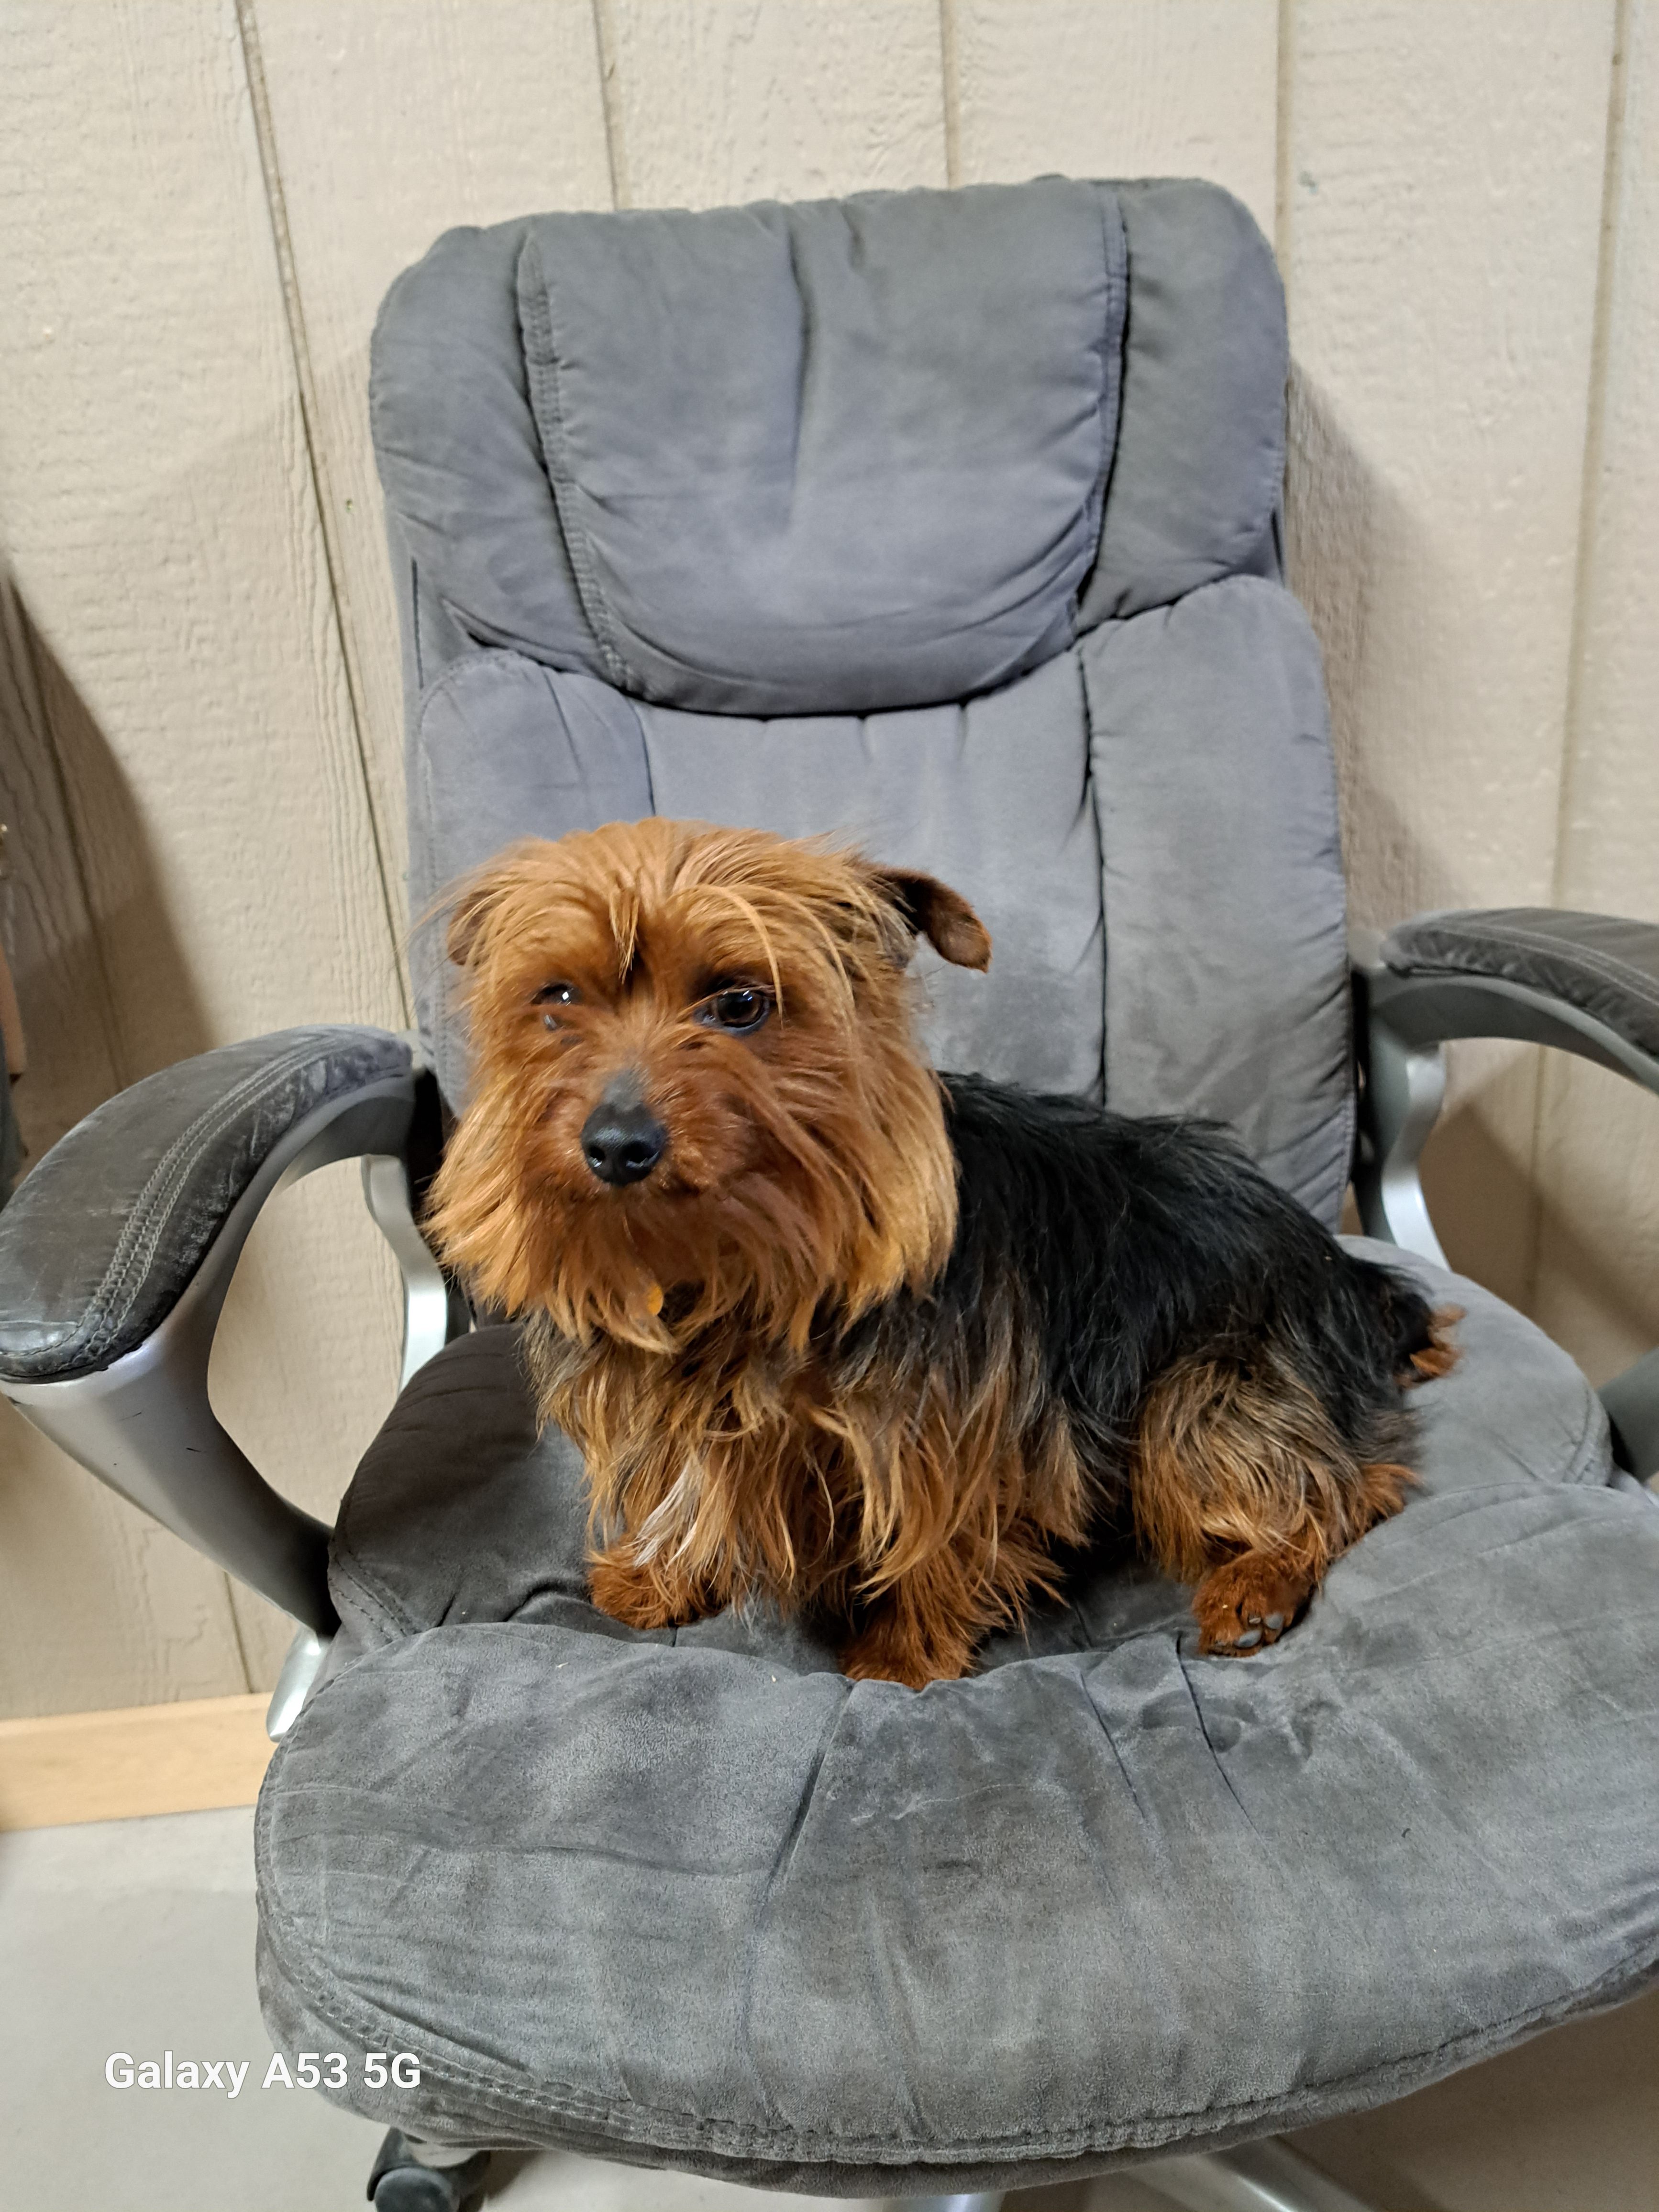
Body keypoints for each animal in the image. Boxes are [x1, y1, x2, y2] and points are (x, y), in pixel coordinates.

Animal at [426, 819, 1458, 1689]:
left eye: (740, 1003)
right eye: (558, 998)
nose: (616, 1143)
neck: (739, 1260)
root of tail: (1347, 1269)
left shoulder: (950, 1421)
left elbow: (939, 1528)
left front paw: (902, 1654)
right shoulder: (691, 1394)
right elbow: (688, 1477)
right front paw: (662, 1573)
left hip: (1215, 1384)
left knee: (1343, 1483)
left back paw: (1258, 1583)